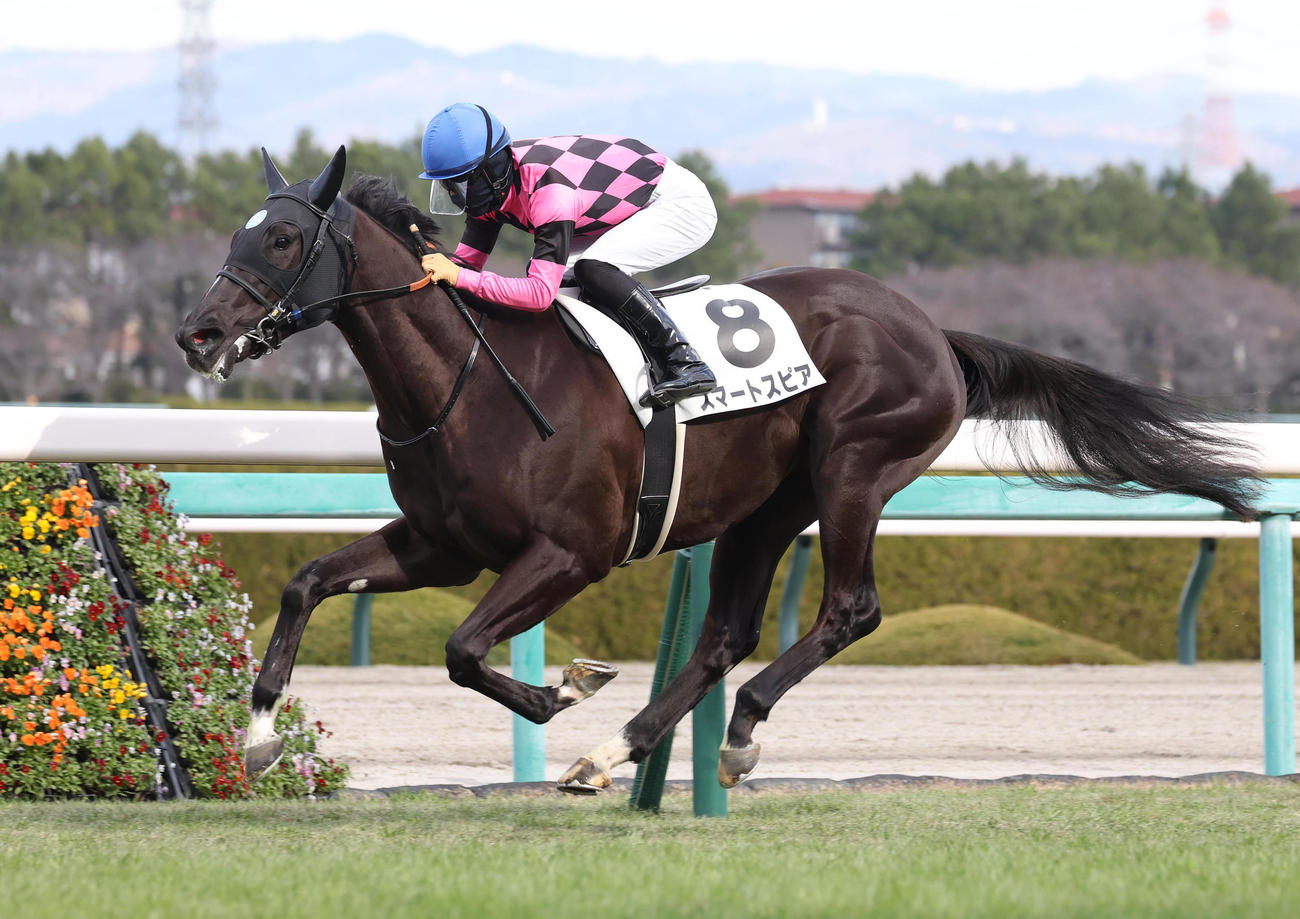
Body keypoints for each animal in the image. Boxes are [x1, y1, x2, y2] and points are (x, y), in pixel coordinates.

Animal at [176, 147, 1260, 792]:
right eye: (233, 233)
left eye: (283, 236)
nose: (198, 333)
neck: (468, 378)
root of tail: (932, 329)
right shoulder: (442, 543)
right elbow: (308, 581)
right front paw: (260, 731)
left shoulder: (569, 550)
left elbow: (461, 647)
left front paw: (565, 690)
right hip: (764, 507)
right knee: (723, 633)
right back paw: (615, 750)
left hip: (854, 468)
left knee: (848, 609)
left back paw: (732, 733)